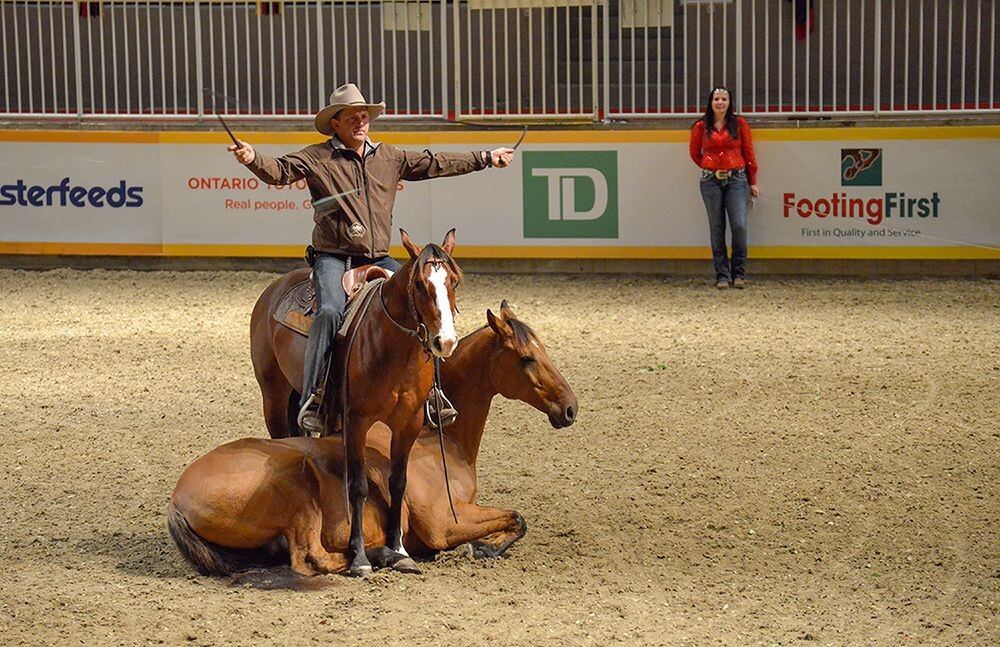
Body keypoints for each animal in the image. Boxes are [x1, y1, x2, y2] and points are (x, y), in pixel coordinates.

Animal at [167, 302, 576, 576]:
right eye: (526, 358)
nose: (570, 408)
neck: (440, 438)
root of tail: (177, 499)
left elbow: (517, 519)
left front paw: (482, 545)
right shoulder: (444, 523)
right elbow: (517, 518)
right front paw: (478, 549)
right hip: (297, 482)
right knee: (309, 557)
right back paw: (379, 556)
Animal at [250, 229, 460, 576]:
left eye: (454, 281)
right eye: (419, 284)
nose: (445, 341)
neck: (392, 345)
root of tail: (273, 290)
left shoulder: (408, 422)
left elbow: (398, 483)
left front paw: (399, 551)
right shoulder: (357, 420)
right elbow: (358, 485)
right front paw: (359, 557)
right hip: (274, 396)